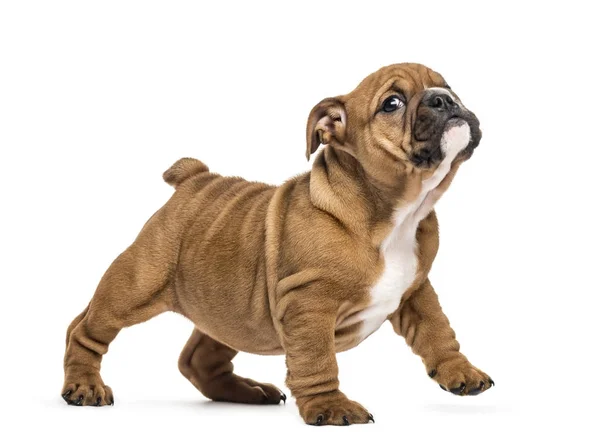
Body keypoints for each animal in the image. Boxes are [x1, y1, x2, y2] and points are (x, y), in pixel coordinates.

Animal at [62, 63, 492, 426]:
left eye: (448, 85)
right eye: (392, 103)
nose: (443, 99)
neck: (397, 215)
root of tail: (193, 179)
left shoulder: (416, 290)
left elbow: (437, 330)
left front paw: (460, 371)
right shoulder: (309, 304)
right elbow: (317, 359)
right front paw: (329, 406)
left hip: (234, 312)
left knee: (198, 359)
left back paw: (248, 392)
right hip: (135, 285)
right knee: (84, 329)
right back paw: (84, 386)